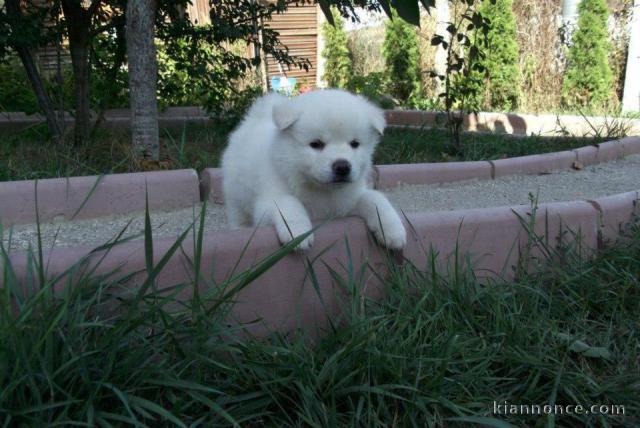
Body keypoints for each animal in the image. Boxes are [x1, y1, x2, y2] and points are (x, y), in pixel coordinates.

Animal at [220, 89, 404, 252]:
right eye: (316, 144)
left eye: (354, 144)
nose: (342, 167)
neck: (322, 191)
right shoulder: (268, 201)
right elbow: (288, 202)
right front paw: (297, 234)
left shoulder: (348, 201)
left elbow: (375, 199)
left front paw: (394, 231)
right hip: (236, 196)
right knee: (238, 216)